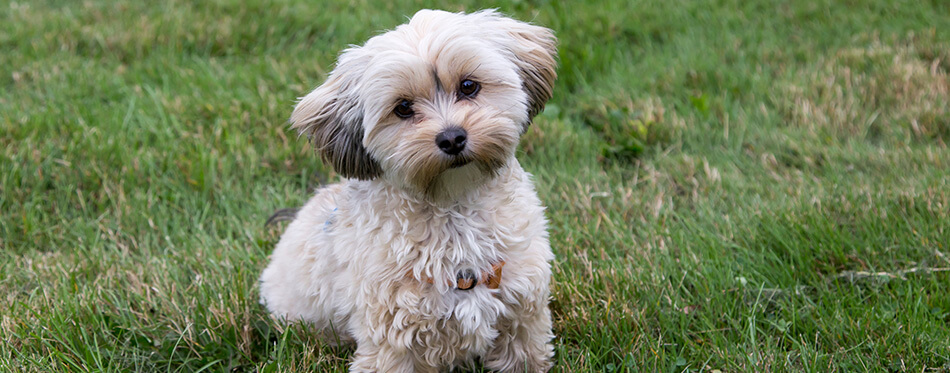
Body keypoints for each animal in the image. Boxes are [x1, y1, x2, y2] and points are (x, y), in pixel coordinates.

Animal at [258, 9, 556, 372]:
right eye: (402, 107)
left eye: (468, 86)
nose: (452, 138)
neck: (454, 210)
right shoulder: (392, 340)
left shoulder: (523, 318)